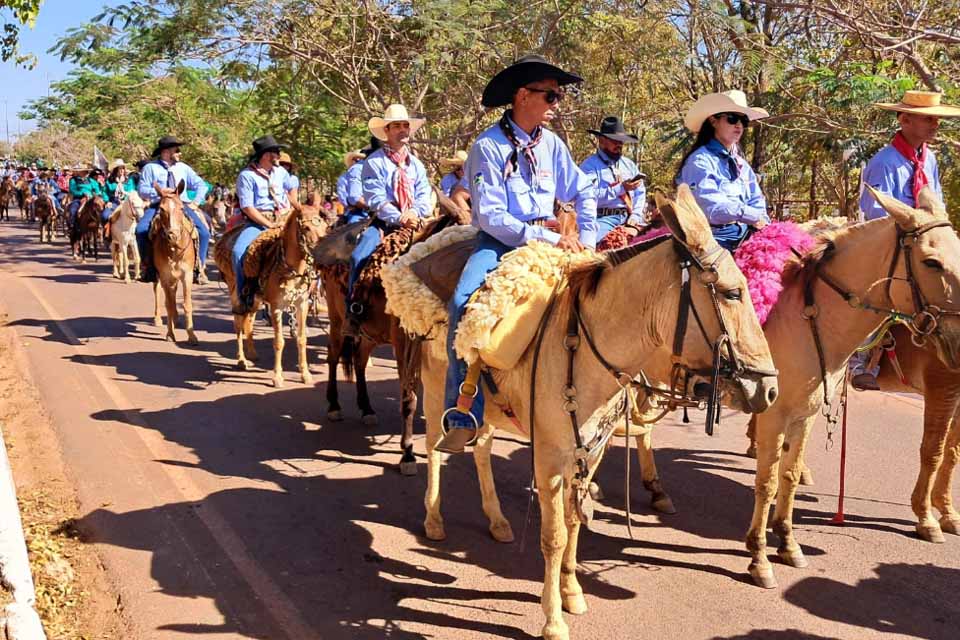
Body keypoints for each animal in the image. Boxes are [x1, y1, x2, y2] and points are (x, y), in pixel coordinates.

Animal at [152, 181, 199, 344]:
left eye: (182, 208)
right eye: (161, 209)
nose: (173, 235)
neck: (174, 250)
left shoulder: (187, 275)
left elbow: (187, 304)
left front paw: (192, 335)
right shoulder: (165, 276)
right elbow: (169, 305)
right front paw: (170, 334)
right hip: (160, 277)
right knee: (159, 293)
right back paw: (158, 319)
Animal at [214, 194, 330, 384]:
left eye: (325, 226)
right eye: (306, 227)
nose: (323, 256)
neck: (290, 269)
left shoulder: (302, 304)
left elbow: (302, 339)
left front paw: (305, 374)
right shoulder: (276, 307)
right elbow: (279, 341)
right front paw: (277, 376)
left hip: (255, 300)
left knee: (249, 321)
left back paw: (252, 353)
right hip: (236, 294)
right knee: (238, 324)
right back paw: (242, 360)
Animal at [412, 186, 780, 640]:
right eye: (731, 293)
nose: (769, 389)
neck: (584, 346)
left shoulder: (591, 449)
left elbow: (573, 523)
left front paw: (572, 592)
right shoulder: (549, 458)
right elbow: (553, 535)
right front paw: (552, 618)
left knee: (480, 450)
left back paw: (497, 520)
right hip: (434, 391)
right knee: (434, 448)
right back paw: (433, 519)